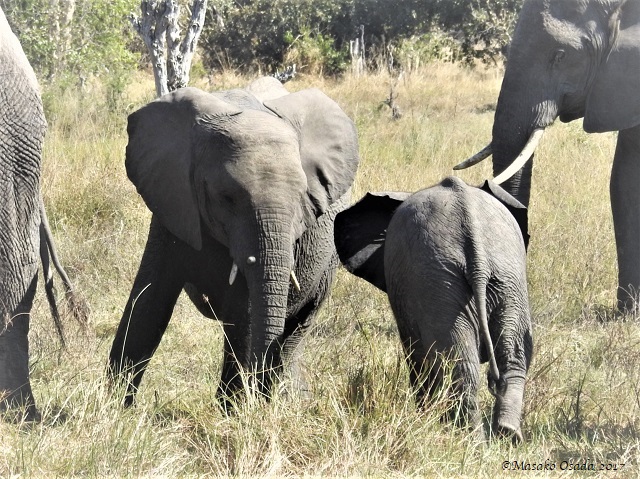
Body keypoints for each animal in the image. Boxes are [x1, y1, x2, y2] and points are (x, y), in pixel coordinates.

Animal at [108, 78, 360, 409]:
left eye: (302, 197)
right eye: (225, 198)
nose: (259, 401)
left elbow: (245, 313)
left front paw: (234, 410)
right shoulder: (172, 201)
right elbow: (149, 299)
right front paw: (113, 407)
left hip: (328, 264)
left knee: (298, 327)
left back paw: (286, 399)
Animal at [334, 176, 533, 442]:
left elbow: (417, 354)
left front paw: (423, 415)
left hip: (440, 283)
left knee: (459, 366)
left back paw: (468, 441)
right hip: (505, 277)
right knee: (511, 356)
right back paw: (507, 434)